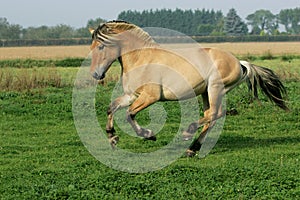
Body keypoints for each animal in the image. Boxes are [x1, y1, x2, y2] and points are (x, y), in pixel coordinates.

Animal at [88, 21, 288, 157]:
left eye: (101, 46)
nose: (96, 74)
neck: (141, 58)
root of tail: (240, 64)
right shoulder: (132, 95)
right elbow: (112, 108)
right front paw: (112, 138)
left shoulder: (150, 97)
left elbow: (129, 114)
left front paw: (148, 135)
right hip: (206, 93)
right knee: (212, 117)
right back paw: (192, 149)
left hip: (215, 89)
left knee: (214, 114)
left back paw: (187, 133)